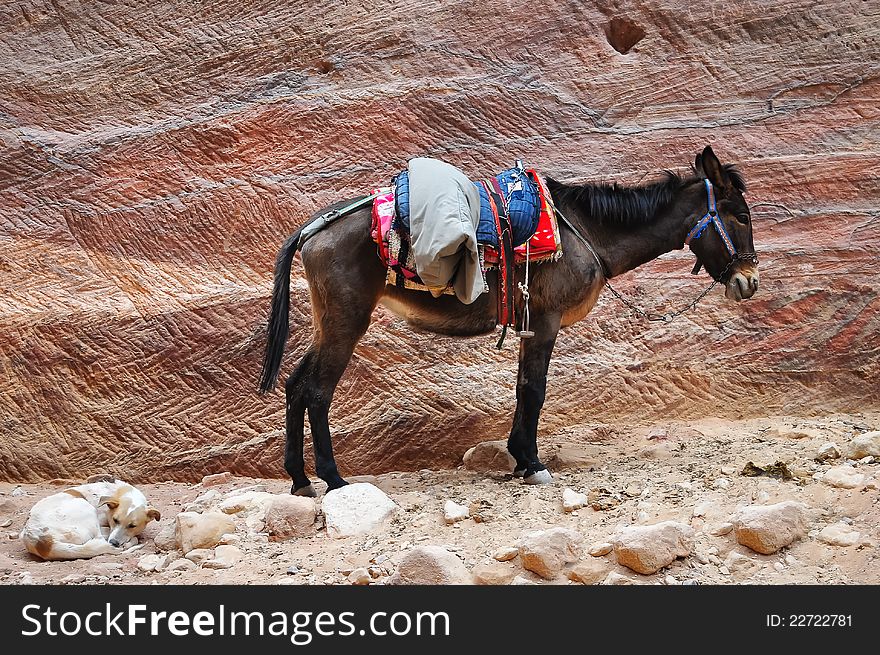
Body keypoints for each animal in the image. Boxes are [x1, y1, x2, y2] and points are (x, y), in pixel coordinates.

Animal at [20, 480, 160, 560]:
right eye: (115, 520)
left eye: (132, 526)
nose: (114, 542)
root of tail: (43, 542)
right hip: (85, 507)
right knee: (101, 540)